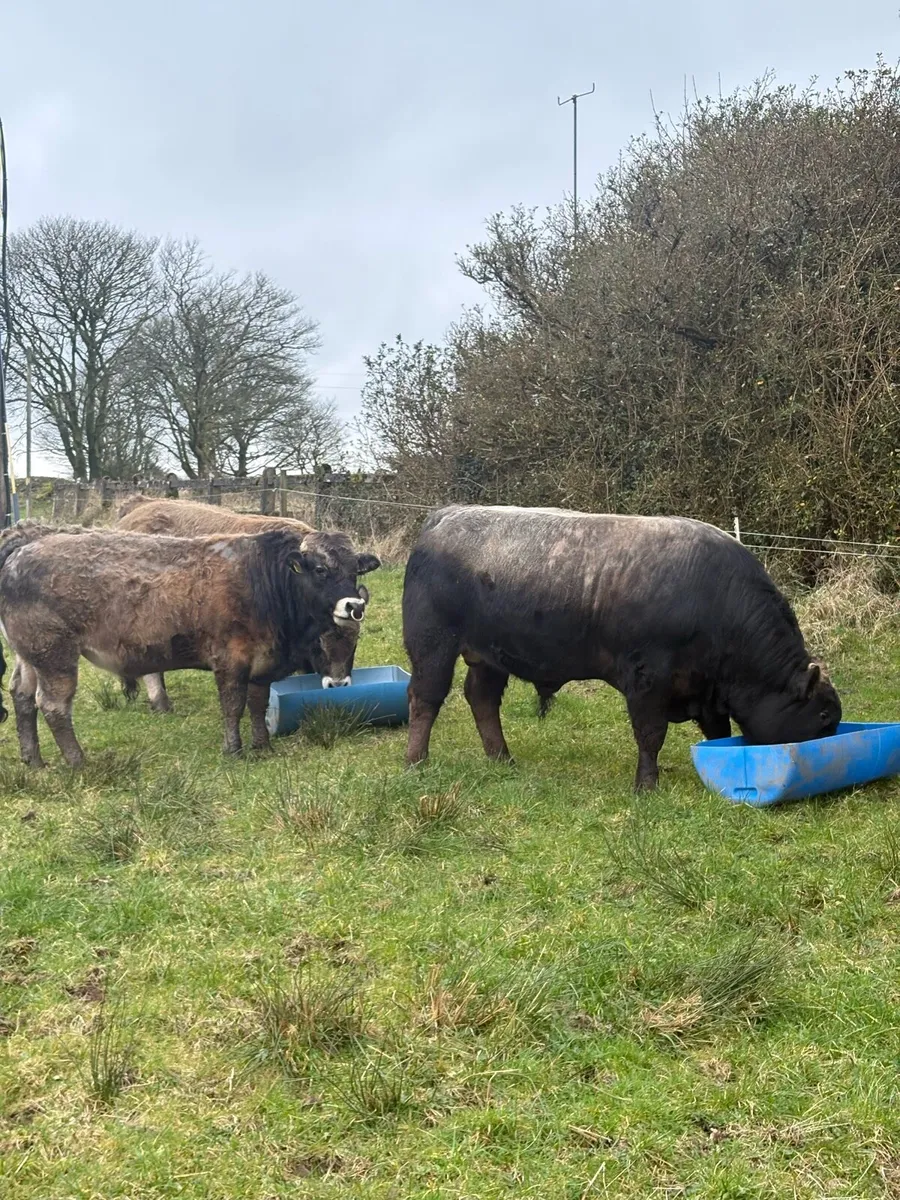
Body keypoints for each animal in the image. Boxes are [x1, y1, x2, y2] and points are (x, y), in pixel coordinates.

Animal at [0, 522, 380, 767]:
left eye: (354, 570)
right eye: (320, 569)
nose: (354, 606)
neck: (265, 581)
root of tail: (23, 548)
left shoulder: (262, 663)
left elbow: (258, 704)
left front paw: (262, 746)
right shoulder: (230, 659)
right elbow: (233, 705)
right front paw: (233, 749)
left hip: (29, 654)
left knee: (22, 696)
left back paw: (33, 760)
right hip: (54, 654)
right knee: (53, 706)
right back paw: (78, 762)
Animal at [402, 505, 842, 790]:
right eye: (822, 716)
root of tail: (445, 517)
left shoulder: (706, 691)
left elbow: (717, 731)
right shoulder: (647, 681)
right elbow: (651, 734)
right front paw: (647, 785)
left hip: (489, 658)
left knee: (482, 699)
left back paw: (502, 758)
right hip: (432, 646)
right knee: (425, 699)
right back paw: (416, 762)